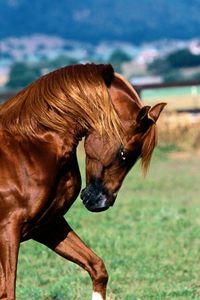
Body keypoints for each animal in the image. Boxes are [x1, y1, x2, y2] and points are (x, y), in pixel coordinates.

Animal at [0, 63, 166, 300]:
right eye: (124, 154)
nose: (101, 202)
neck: (30, 146)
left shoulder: (48, 225)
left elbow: (97, 267)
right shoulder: (8, 231)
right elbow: (8, 292)